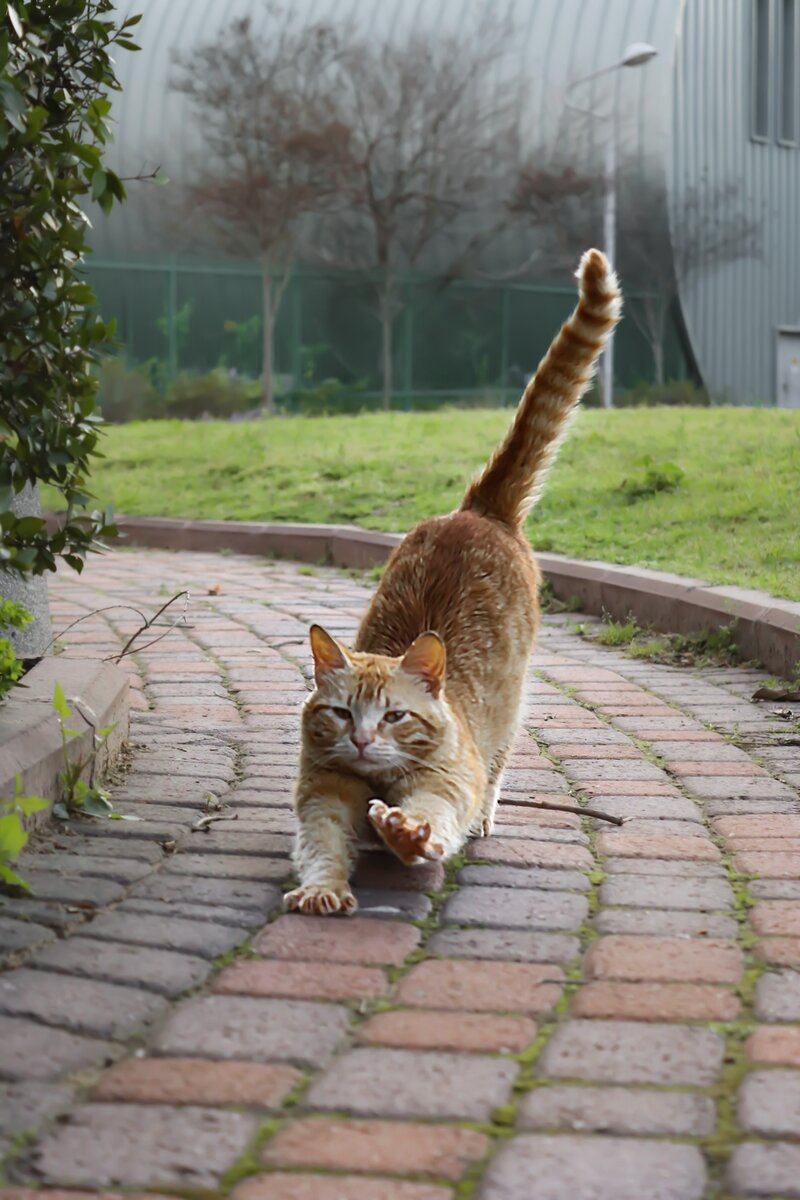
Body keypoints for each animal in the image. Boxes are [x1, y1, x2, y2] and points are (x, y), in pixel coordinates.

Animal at [284, 248, 623, 912]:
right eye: (341, 714)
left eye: (394, 716)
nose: (361, 740)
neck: (376, 777)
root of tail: (477, 509)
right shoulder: (321, 797)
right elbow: (321, 846)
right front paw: (322, 889)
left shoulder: (444, 785)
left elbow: (430, 818)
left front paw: (403, 833)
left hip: (512, 707)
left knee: (496, 767)